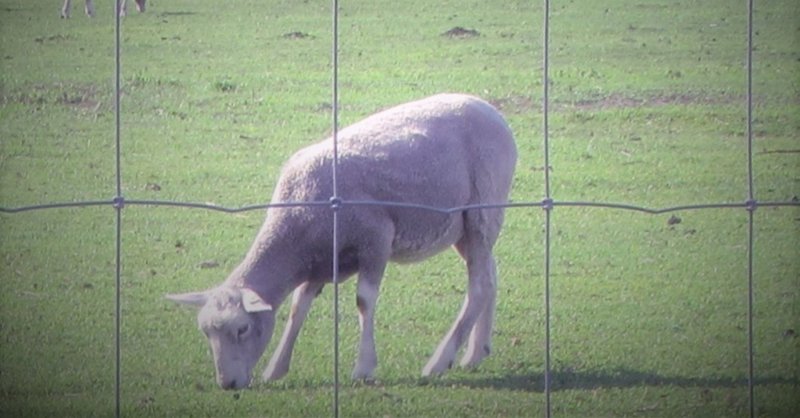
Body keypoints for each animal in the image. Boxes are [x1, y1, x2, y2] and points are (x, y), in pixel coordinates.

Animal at [169, 93, 520, 390]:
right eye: (206, 332)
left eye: (242, 329)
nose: (227, 384)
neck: (297, 224)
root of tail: (491, 111)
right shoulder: (321, 261)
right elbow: (298, 307)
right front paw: (276, 368)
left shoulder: (376, 239)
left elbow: (364, 301)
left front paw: (363, 368)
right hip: (464, 228)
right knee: (490, 274)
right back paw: (475, 352)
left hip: (482, 211)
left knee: (479, 286)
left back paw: (439, 361)